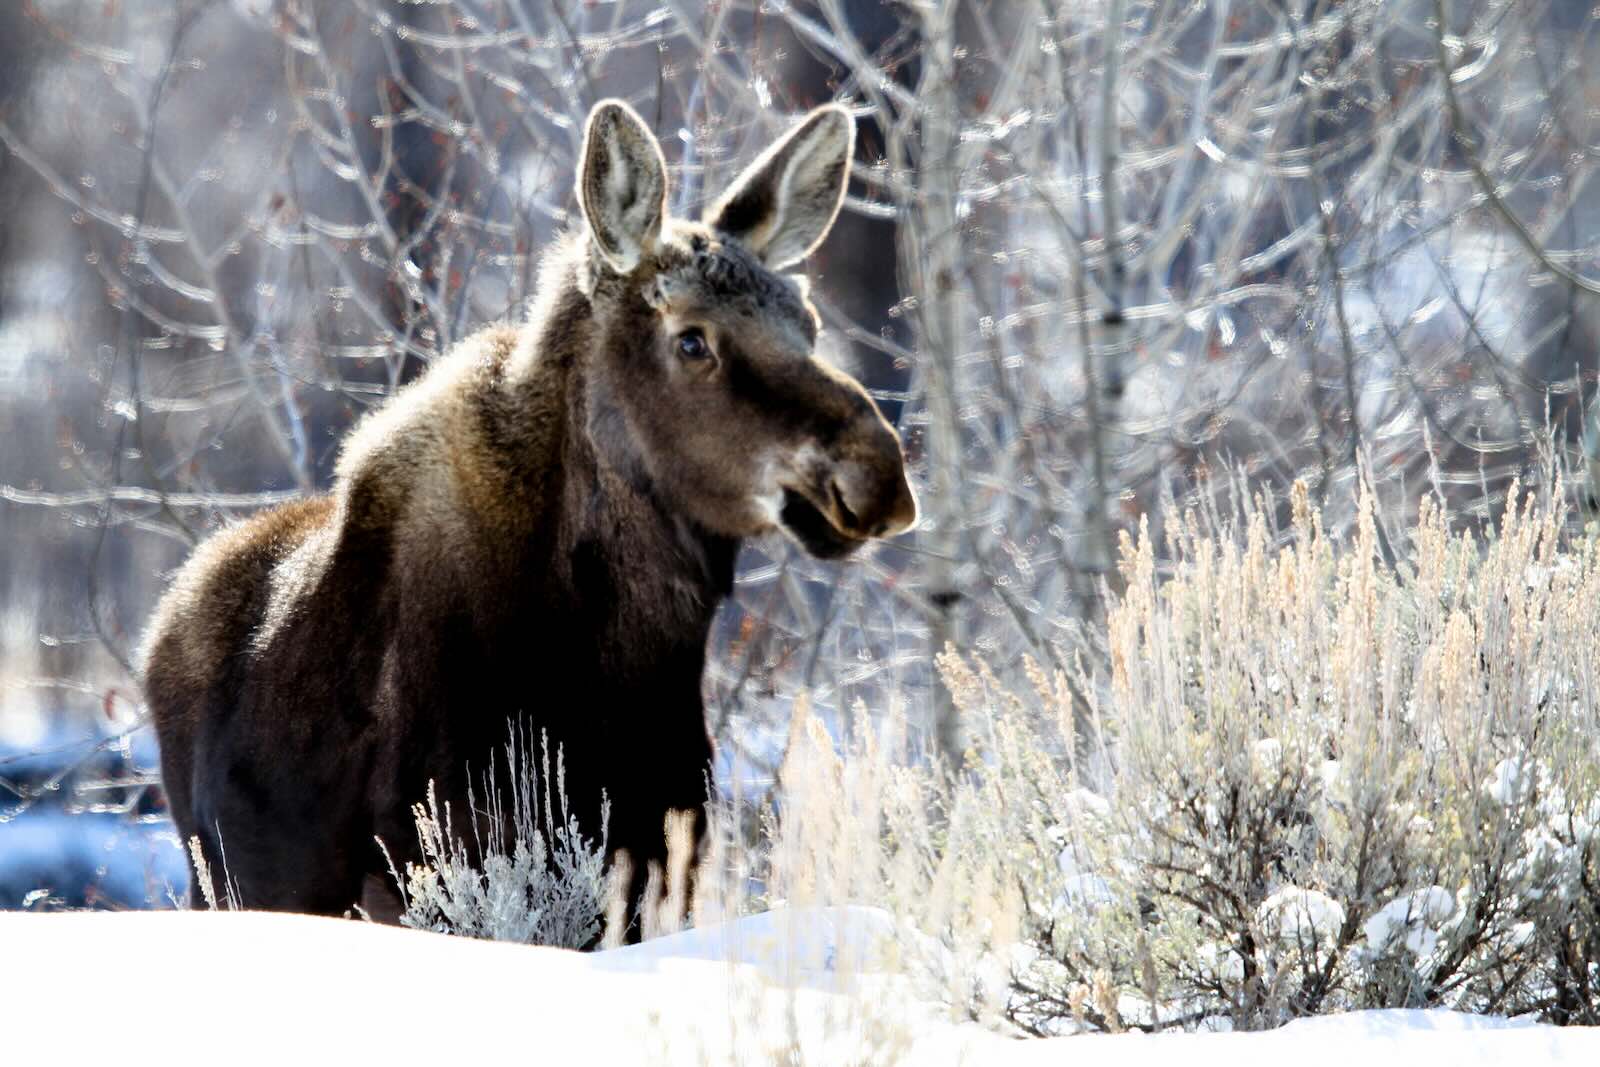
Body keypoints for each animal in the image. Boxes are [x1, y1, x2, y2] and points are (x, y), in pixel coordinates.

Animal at [139, 98, 917, 930]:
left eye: (809, 324)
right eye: (691, 339)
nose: (878, 473)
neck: (622, 662)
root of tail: (165, 620)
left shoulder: (660, 851)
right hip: (228, 881)